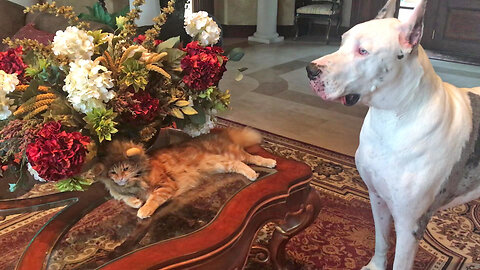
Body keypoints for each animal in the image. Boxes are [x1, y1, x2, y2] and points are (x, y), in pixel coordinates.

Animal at [94, 127, 274, 218]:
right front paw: (136, 202)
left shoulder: (165, 185)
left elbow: (152, 199)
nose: (121, 178)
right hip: (222, 163)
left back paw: (267, 164)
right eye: (113, 173)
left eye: (125, 168)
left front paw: (144, 210)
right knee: (239, 163)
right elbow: (125, 199)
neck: (135, 183)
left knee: (253, 158)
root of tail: (220, 134)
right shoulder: (118, 192)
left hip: (232, 155)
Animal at [308, 0, 480, 268]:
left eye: (363, 51)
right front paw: (376, 265)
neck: (391, 121)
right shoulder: (377, 197)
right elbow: (381, 239)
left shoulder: (410, 226)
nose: (310, 70)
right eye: (342, 41)